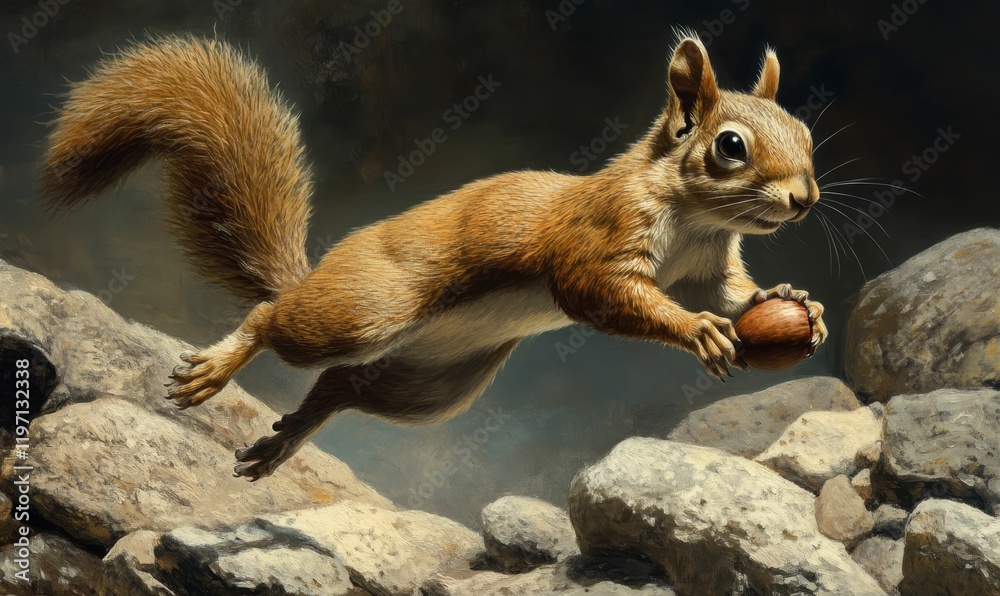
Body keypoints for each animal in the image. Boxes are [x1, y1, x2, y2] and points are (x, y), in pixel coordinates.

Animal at [42, 34, 827, 481]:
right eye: (731, 145)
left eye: (806, 132)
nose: (805, 199)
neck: (695, 219)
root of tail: (318, 272)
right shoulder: (597, 240)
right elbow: (605, 293)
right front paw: (697, 331)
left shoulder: (707, 264)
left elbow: (730, 292)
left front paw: (793, 305)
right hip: (363, 311)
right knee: (274, 320)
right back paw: (218, 368)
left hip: (431, 385)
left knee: (341, 388)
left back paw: (283, 442)